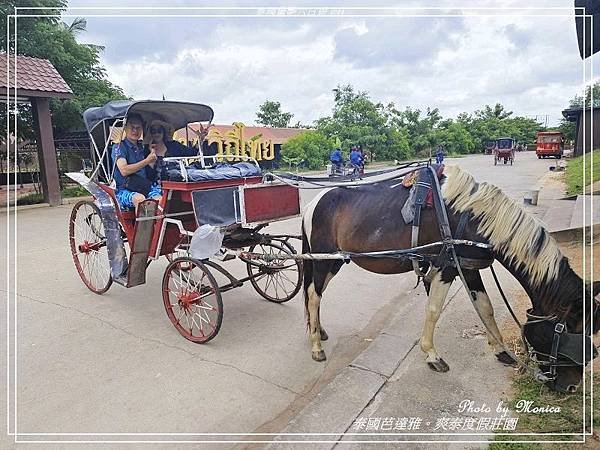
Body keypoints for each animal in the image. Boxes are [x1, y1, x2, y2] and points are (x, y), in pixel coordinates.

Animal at [302, 163, 596, 392]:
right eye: (568, 330)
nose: (572, 386)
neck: (472, 217)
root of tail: (313, 204)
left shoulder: (468, 267)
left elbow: (485, 308)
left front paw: (500, 349)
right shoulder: (447, 267)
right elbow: (434, 310)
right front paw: (432, 355)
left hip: (333, 261)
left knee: (314, 294)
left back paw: (318, 331)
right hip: (324, 259)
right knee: (314, 296)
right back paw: (315, 346)